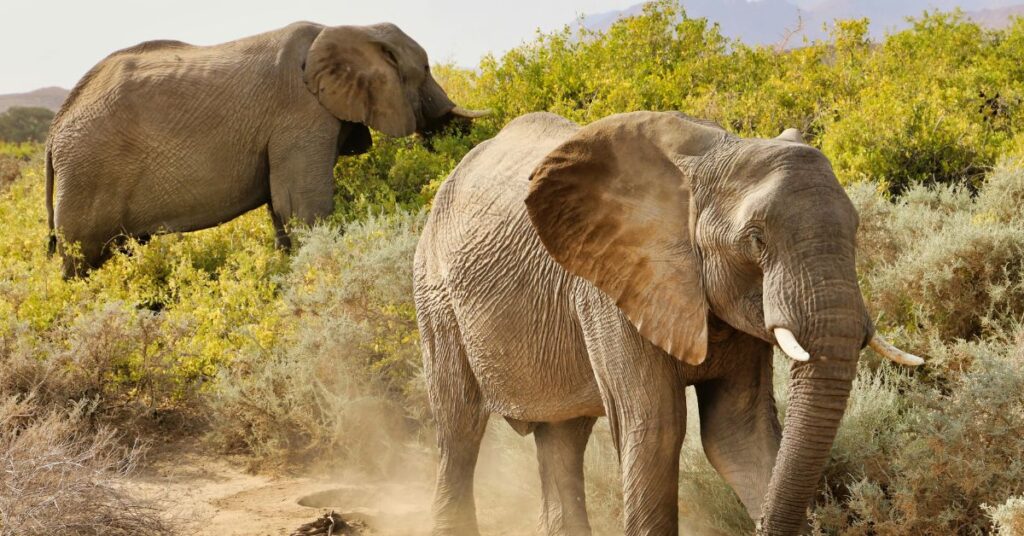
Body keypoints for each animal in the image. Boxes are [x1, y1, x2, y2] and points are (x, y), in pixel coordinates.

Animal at [45, 21, 485, 277]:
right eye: (425, 69)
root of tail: (54, 131)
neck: (351, 28)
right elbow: (302, 206)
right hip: (88, 173)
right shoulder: (300, 115)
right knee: (82, 259)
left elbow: (282, 207)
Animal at [413, 111, 923, 535]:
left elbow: (738, 432)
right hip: (435, 295)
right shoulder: (608, 291)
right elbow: (657, 427)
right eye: (756, 240)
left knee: (563, 436)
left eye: (855, 229)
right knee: (459, 428)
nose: (760, 525)